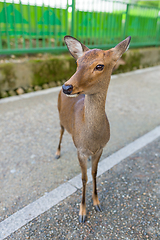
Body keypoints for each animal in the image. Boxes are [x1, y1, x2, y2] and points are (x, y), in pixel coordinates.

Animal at [55, 35, 131, 223]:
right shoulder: (80, 150)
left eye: (99, 66)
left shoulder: (101, 148)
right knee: (60, 131)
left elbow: (95, 173)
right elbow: (84, 178)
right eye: (77, 63)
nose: (67, 87)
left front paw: (97, 203)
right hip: (59, 117)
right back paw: (57, 153)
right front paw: (82, 213)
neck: (92, 139)